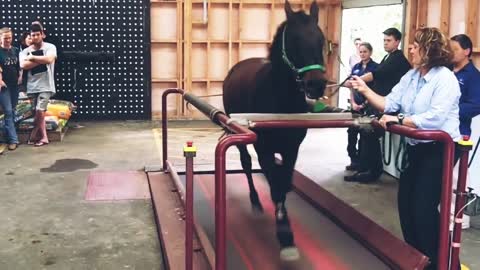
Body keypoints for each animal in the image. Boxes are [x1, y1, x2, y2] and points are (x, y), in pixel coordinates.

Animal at [221, 0, 326, 262]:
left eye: (321, 40)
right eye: (294, 40)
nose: (316, 85)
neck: (280, 98)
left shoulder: (291, 149)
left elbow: (284, 180)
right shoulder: (264, 147)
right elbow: (275, 183)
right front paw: (285, 236)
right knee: (247, 164)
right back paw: (256, 201)